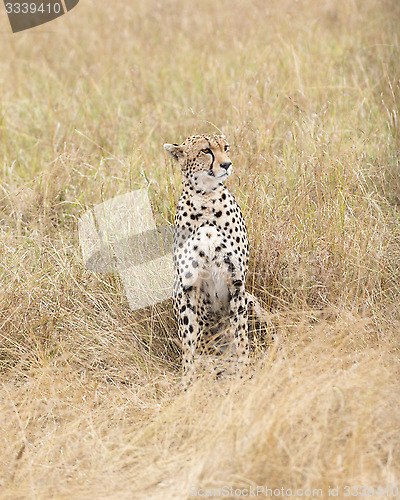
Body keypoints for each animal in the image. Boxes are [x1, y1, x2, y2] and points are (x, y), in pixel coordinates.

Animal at [164, 135, 270, 384]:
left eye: (226, 148)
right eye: (206, 150)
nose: (227, 164)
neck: (205, 197)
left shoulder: (236, 281)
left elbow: (240, 334)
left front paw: (243, 371)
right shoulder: (187, 286)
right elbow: (188, 337)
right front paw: (188, 378)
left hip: (252, 300)